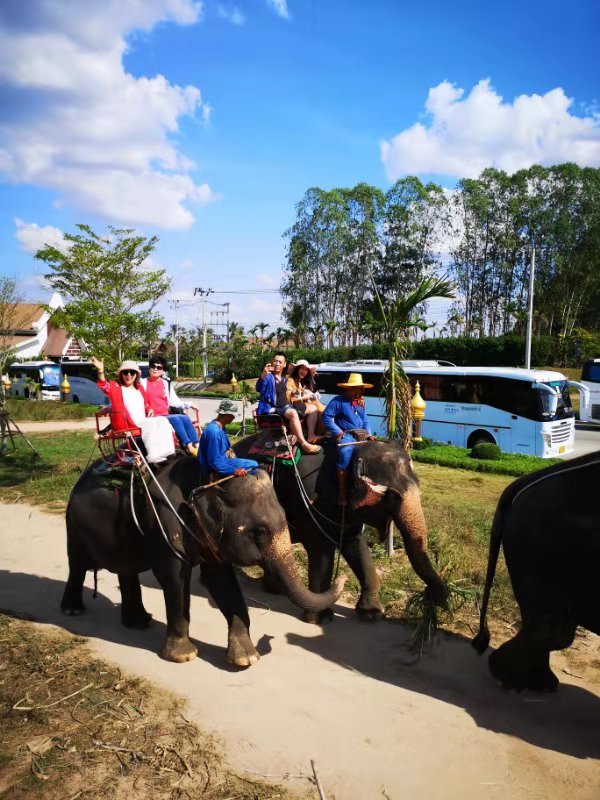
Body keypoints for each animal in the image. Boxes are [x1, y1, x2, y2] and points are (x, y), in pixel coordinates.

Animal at [61, 456, 346, 666]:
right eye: (259, 532)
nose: (342, 576)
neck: (205, 479)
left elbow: (221, 582)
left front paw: (246, 659)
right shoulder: (166, 524)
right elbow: (174, 579)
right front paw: (183, 656)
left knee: (126, 569)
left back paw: (139, 622)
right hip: (73, 523)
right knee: (77, 562)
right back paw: (72, 610)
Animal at [233, 436, 447, 623]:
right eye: (392, 496)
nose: (435, 599)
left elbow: (356, 547)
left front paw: (372, 614)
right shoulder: (311, 501)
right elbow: (321, 552)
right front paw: (320, 619)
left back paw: (275, 588)